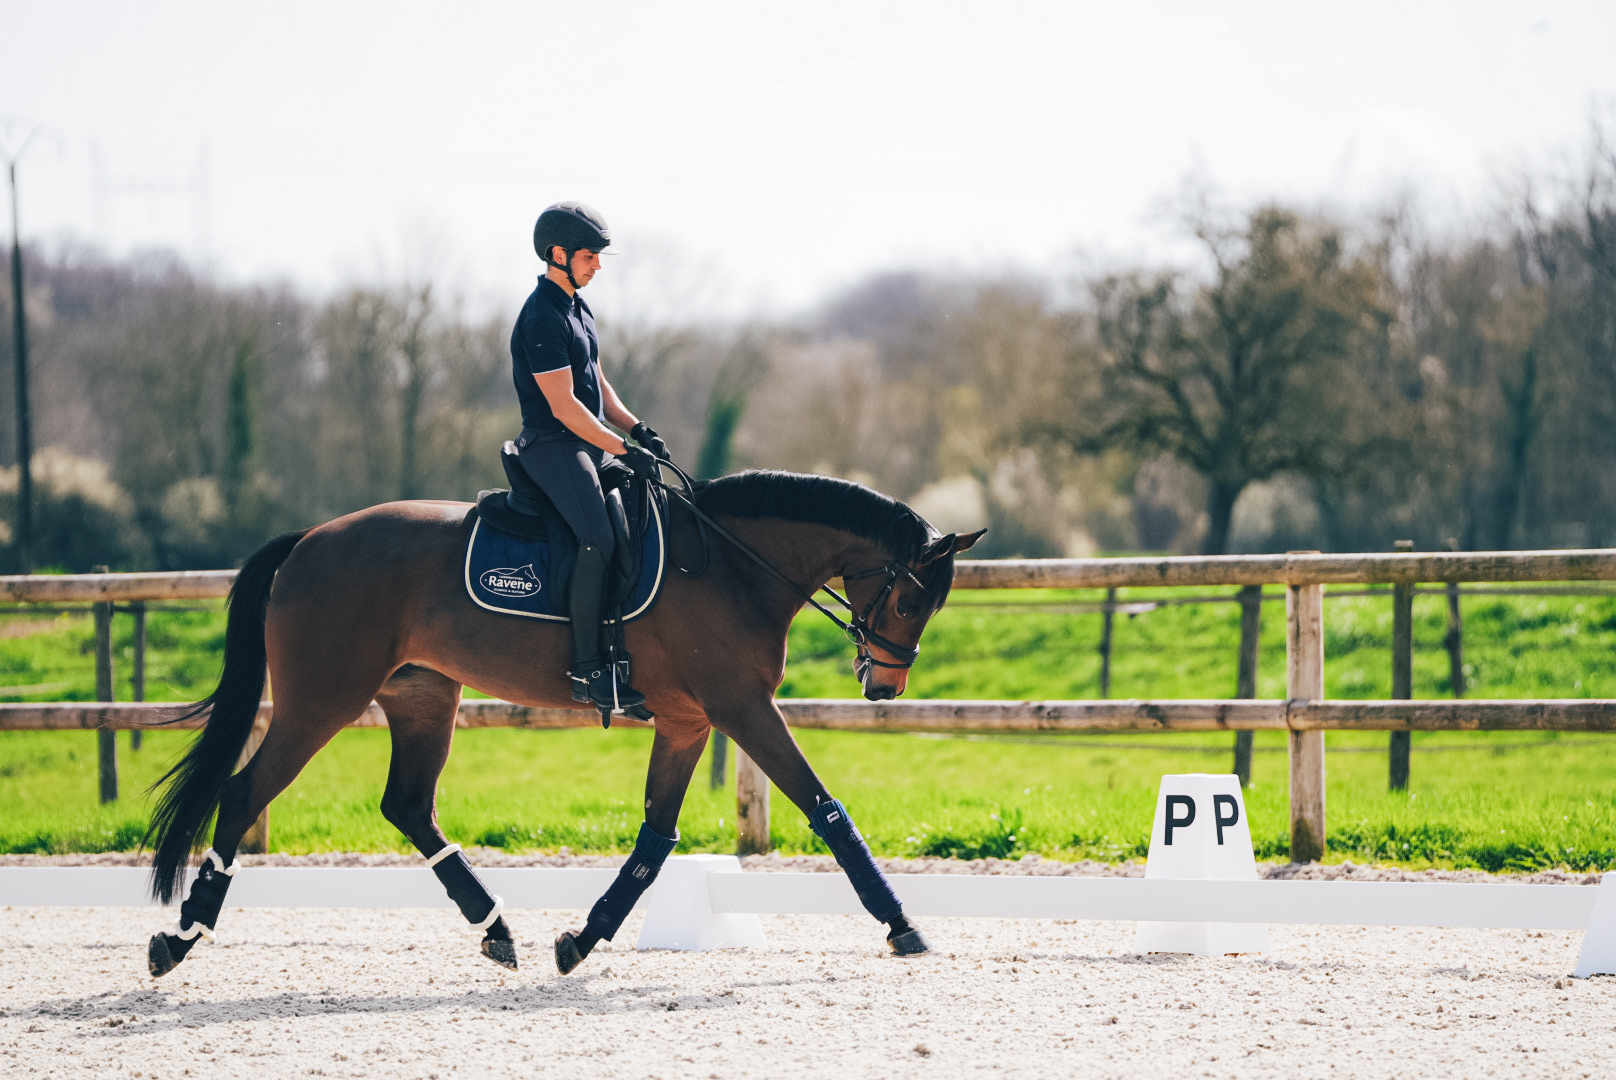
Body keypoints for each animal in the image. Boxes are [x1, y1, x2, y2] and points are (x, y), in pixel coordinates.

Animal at [142, 468, 984, 977]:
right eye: (911, 600)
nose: (885, 688)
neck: (733, 566)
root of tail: (309, 542)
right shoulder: (740, 707)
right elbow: (824, 807)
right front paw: (901, 923)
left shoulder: (688, 722)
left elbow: (654, 839)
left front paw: (581, 939)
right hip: (324, 697)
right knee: (244, 793)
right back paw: (180, 935)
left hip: (422, 697)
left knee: (408, 805)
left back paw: (494, 928)